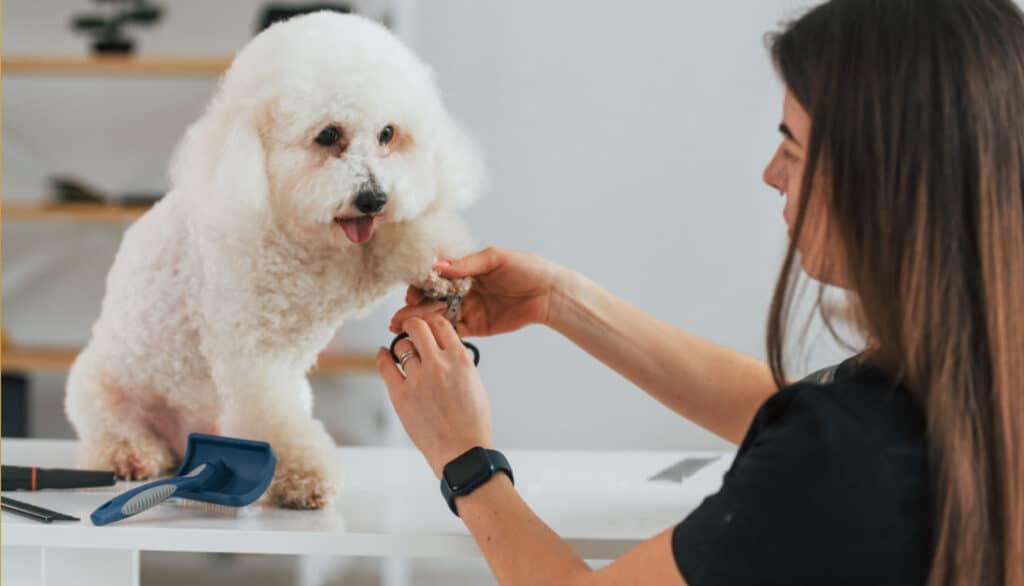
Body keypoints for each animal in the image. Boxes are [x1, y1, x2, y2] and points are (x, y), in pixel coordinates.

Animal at [64, 12, 479, 508]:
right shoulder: (254, 358)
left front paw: (442, 272)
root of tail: (180, 436)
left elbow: (401, 239)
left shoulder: (357, 268)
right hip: (101, 391)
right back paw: (133, 455)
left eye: (388, 134)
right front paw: (302, 477)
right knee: (112, 436)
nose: (374, 199)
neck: (299, 234)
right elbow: (273, 420)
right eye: (328, 135)